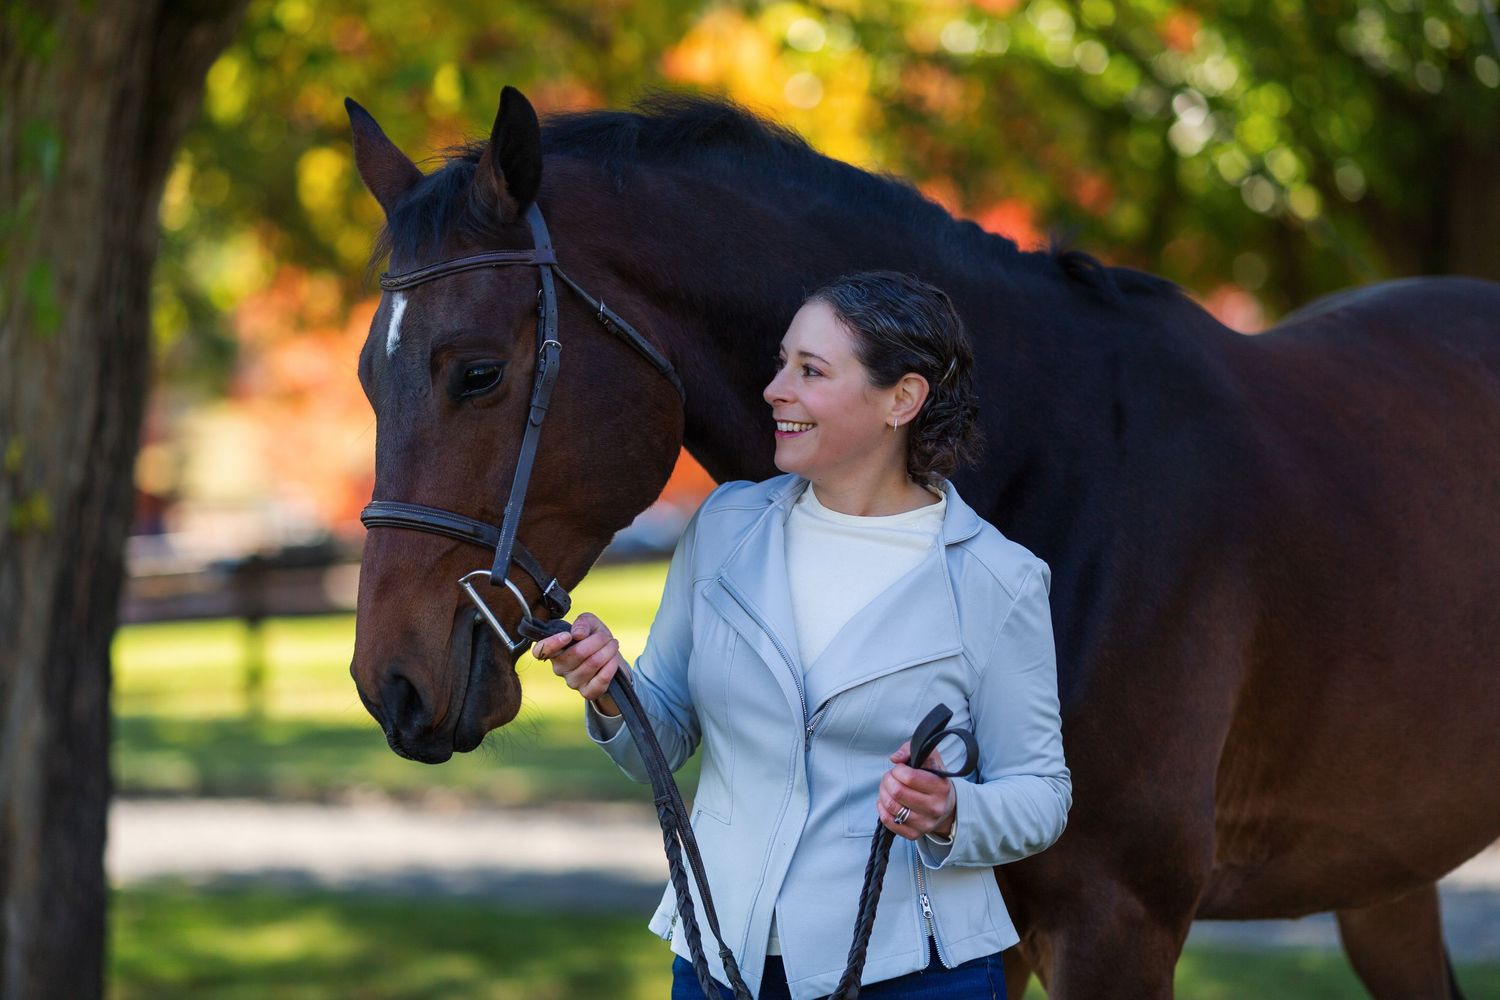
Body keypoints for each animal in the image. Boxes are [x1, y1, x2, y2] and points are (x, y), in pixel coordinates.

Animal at [343, 85, 1500, 998]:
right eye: (366, 376)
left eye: (478, 372)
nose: (388, 681)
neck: (1068, 467)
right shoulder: (1011, 938)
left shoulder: (1118, 924)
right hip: (1386, 874)